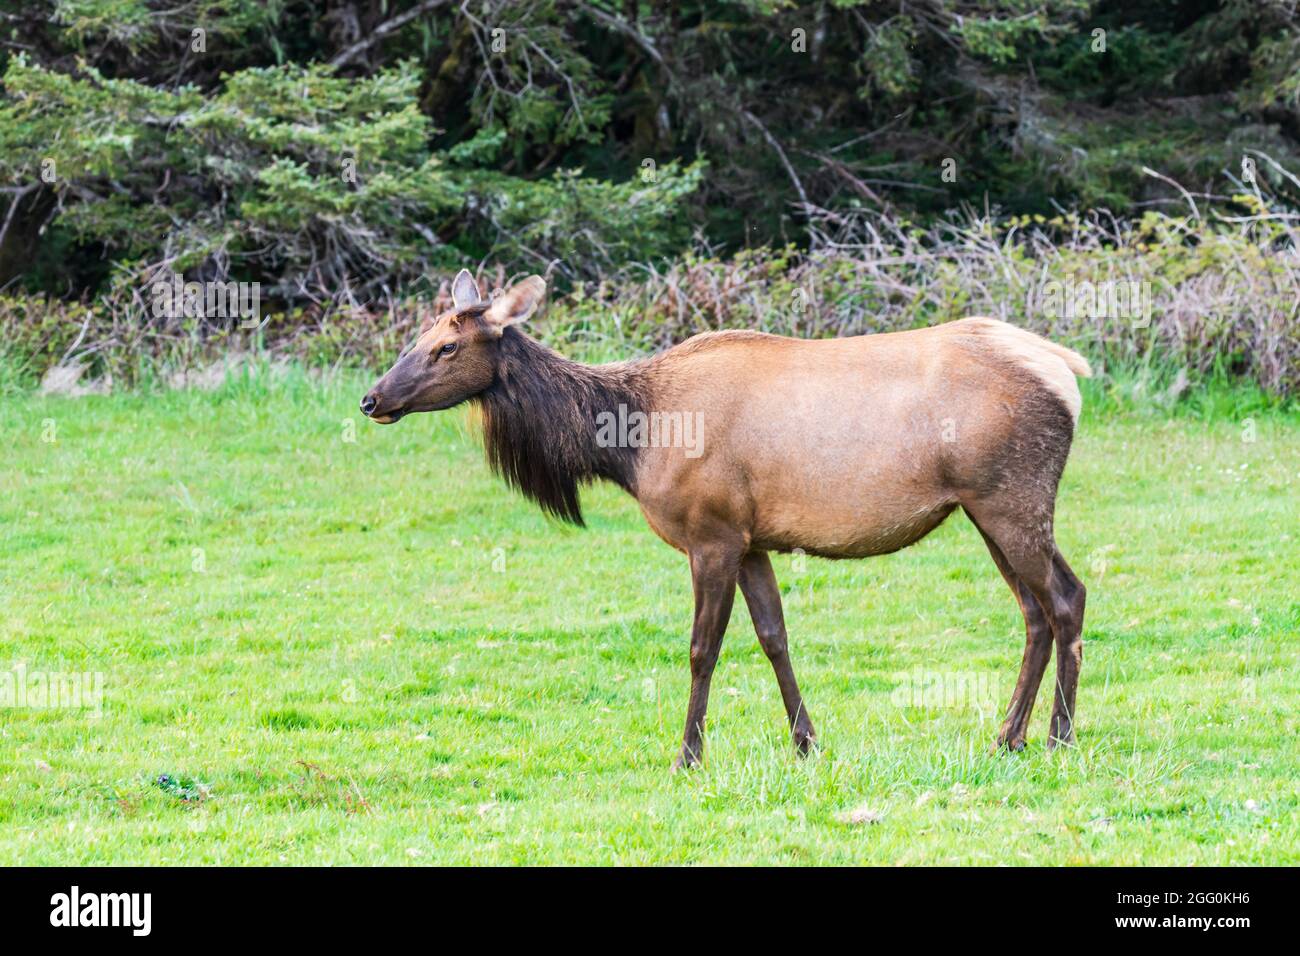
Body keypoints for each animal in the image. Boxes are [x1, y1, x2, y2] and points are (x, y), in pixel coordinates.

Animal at [361, 270, 1092, 770]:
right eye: (418, 338)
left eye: (448, 347)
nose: (372, 399)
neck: (628, 446)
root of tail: (1070, 372)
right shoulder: (751, 539)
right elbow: (774, 637)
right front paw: (806, 743)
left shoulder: (709, 532)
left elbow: (700, 648)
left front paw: (687, 754)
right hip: (983, 508)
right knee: (1035, 610)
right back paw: (1008, 735)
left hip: (1011, 495)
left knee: (1065, 596)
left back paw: (1057, 737)